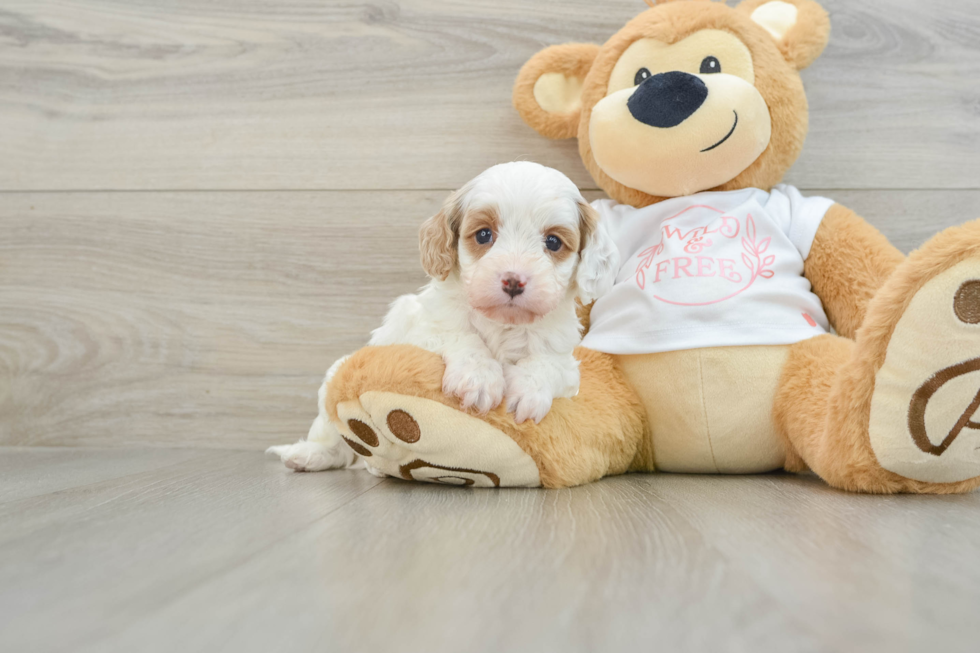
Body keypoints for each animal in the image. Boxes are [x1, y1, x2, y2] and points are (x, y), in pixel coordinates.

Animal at [266, 160, 620, 472]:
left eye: (553, 242)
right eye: (484, 235)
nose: (513, 281)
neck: (502, 324)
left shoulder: (565, 362)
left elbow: (546, 363)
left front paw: (528, 393)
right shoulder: (421, 333)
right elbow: (461, 337)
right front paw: (478, 380)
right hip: (333, 384)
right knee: (336, 441)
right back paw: (308, 455)